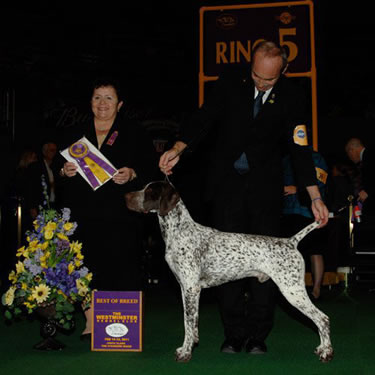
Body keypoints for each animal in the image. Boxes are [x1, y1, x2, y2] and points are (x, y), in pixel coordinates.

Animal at [125, 182, 334, 364]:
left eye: (149, 191)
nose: (126, 196)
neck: (180, 232)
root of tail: (291, 241)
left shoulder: (191, 289)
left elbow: (188, 324)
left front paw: (185, 353)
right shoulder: (187, 289)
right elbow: (191, 323)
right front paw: (190, 345)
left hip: (292, 290)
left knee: (322, 318)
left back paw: (326, 352)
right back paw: (322, 349)